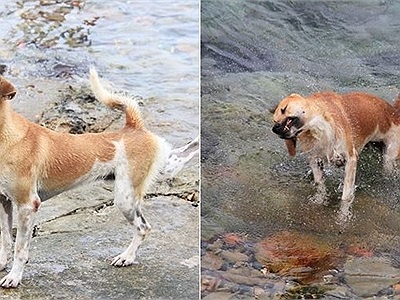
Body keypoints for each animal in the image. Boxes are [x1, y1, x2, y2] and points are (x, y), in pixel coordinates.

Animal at [0, 69, 198, 288]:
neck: (6, 134)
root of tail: (133, 127)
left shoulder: (27, 205)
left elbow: (20, 248)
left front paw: (14, 276)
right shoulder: (4, 201)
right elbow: (6, 239)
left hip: (125, 198)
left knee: (142, 227)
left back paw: (126, 257)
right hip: (155, 174)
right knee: (181, 157)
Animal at [272, 91, 400, 220]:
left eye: (284, 109)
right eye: (275, 121)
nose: (274, 129)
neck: (315, 129)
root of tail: (394, 112)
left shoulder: (350, 158)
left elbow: (346, 194)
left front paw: (343, 214)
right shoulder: (315, 160)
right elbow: (320, 185)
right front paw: (319, 200)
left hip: (389, 157)